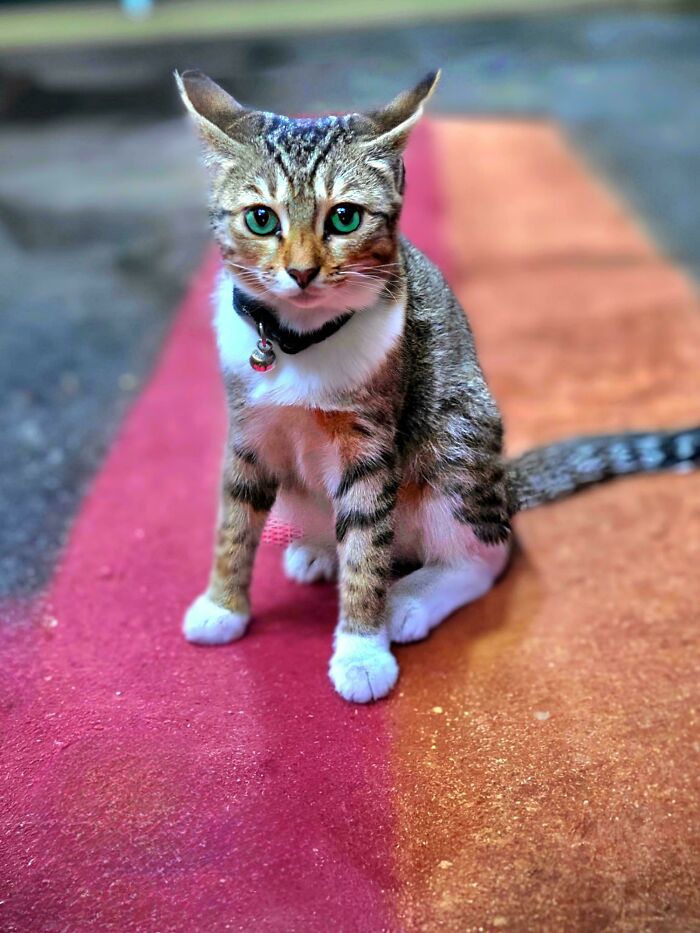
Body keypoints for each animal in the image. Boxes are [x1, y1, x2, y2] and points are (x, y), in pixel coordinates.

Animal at [176, 67, 700, 700]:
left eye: (344, 217)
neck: (299, 342)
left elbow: (366, 549)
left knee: (486, 553)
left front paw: (361, 651)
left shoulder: (371, 443)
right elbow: (234, 519)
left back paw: (411, 597)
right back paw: (319, 550)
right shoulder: (247, 432)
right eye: (261, 218)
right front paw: (222, 606)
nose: (301, 272)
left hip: (454, 442)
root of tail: (503, 486)